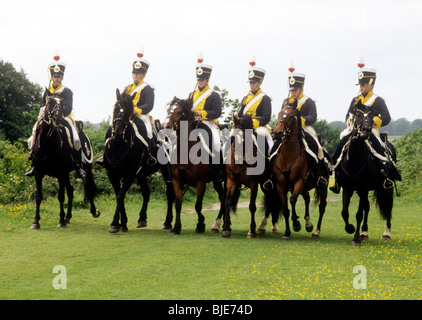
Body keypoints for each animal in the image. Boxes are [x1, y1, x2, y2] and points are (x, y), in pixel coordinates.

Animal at [29, 93, 100, 230]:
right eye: (50, 102)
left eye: (62, 104)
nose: (57, 118)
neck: (47, 145)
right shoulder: (39, 173)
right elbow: (38, 196)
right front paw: (35, 222)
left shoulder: (60, 173)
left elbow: (61, 197)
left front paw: (60, 221)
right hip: (67, 174)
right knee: (71, 191)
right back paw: (68, 217)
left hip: (85, 169)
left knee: (88, 188)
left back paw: (94, 212)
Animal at [103, 89, 174, 234]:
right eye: (115, 109)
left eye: (128, 112)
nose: (117, 134)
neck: (119, 146)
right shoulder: (112, 174)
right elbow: (119, 195)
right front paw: (121, 224)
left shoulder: (130, 173)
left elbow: (120, 196)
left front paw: (115, 224)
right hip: (141, 174)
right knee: (146, 193)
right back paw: (142, 219)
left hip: (166, 171)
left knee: (169, 193)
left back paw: (167, 222)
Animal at [163, 96, 226, 234]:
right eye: (169, 110)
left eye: (179, 111)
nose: (166, 128)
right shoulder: (177, 181)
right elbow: (178, 204)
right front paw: (176, 228)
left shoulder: (200, 182)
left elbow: (198, 206)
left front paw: (201, 224)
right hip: (216, 182)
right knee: (222, 197)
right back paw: (218, 224)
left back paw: (218, 224)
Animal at [268, 100, 330, 240]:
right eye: (279, 113)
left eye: (291, 116)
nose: (277, 133)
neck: (288, 155)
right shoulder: (281, 185)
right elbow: (285, 208)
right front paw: (287, 232)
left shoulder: (299, 181)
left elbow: (292, 200)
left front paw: (296, 223)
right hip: (304, 187)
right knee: (306, 198)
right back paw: (308, 224)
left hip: (323, 186)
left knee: (322, 207)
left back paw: (316, 231)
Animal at [332, 101, 396, 246]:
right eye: (358, 114)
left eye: (372, 115)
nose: (366, 130)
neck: (355, 160)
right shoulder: (348, 188)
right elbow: (345, 212)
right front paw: (350, 229)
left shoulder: (363, 188)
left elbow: (358, 214)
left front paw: (355, 238)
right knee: (367, 207)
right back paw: (364, 233)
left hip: (386, 188)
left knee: (388, 207)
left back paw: (386, 233)